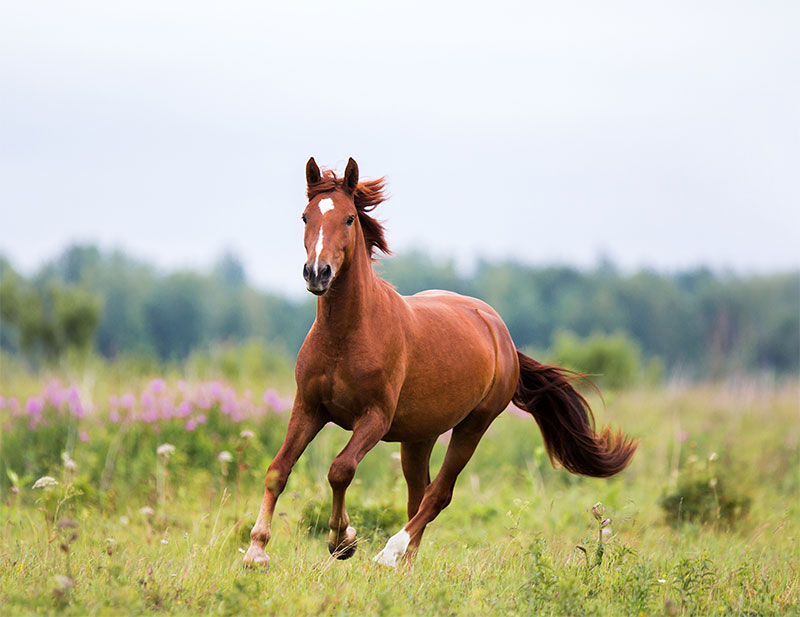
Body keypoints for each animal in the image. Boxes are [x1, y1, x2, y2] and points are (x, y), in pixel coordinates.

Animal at [244, 158, 636, 568]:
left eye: (349, 218)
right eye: (306, 217)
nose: (317, 273)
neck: (346, 336)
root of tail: (501, 334)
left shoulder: (374, 418)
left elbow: (341, 470)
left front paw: (342, 540)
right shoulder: (309, 407)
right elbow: (278, 469)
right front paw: (256, 550)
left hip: (472, 426)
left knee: (438, 494)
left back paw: (390, 553)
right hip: (420, 436)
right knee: (420, 494)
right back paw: (406, 564)